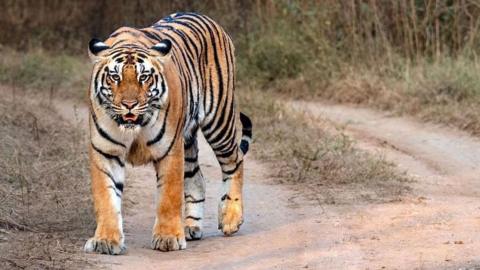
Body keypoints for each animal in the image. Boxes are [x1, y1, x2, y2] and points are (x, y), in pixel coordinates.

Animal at [84, 11, 253, 254]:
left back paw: (230, 218)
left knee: (234, 160)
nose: (129, 105)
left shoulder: (169, 149)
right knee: (197, 178)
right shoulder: (105, 151)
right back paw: (191, 227)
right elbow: (105, 197)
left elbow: (169, 196)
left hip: (219, 119)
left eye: (143, 77)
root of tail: (205, 17)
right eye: (115, 77)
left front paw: (168, 238)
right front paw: (106, 240)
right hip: (189, 140)